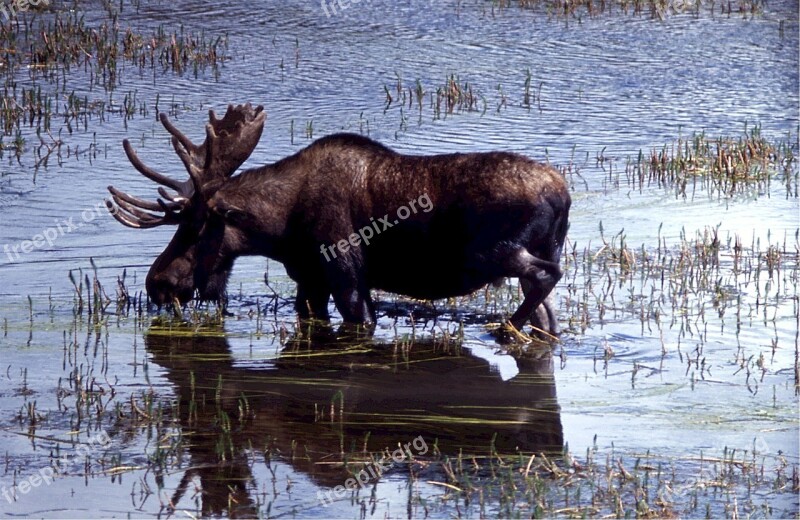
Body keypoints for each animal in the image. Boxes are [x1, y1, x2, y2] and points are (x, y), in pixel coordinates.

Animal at [104, 103, 568, 336]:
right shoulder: (308, 279)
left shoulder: (345, 272)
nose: (157, 283)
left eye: (195, 227)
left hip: (495, 251)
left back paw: (505, 328)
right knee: (547, 310)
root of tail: (562, 195)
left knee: (547, 275)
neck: (280, 228)